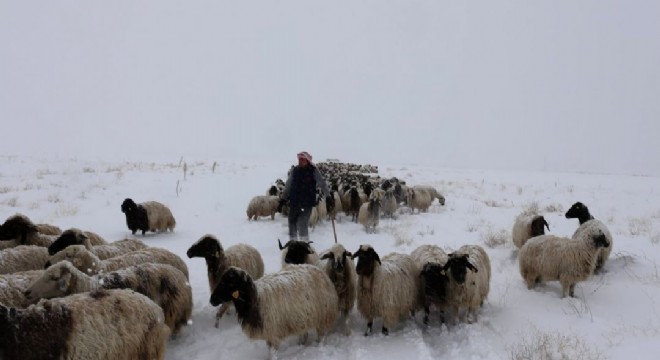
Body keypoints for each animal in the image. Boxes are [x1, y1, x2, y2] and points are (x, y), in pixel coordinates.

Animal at [209, 264, 338, 352]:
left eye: (230, 282)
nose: (212, 300)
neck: (256, 299)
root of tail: (319, 270)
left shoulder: (272, 331)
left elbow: (272, 353)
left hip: (323, 315)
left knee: (321, 335)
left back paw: (319, 346)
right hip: (302, 317)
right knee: (304, 334)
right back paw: (300, 345)